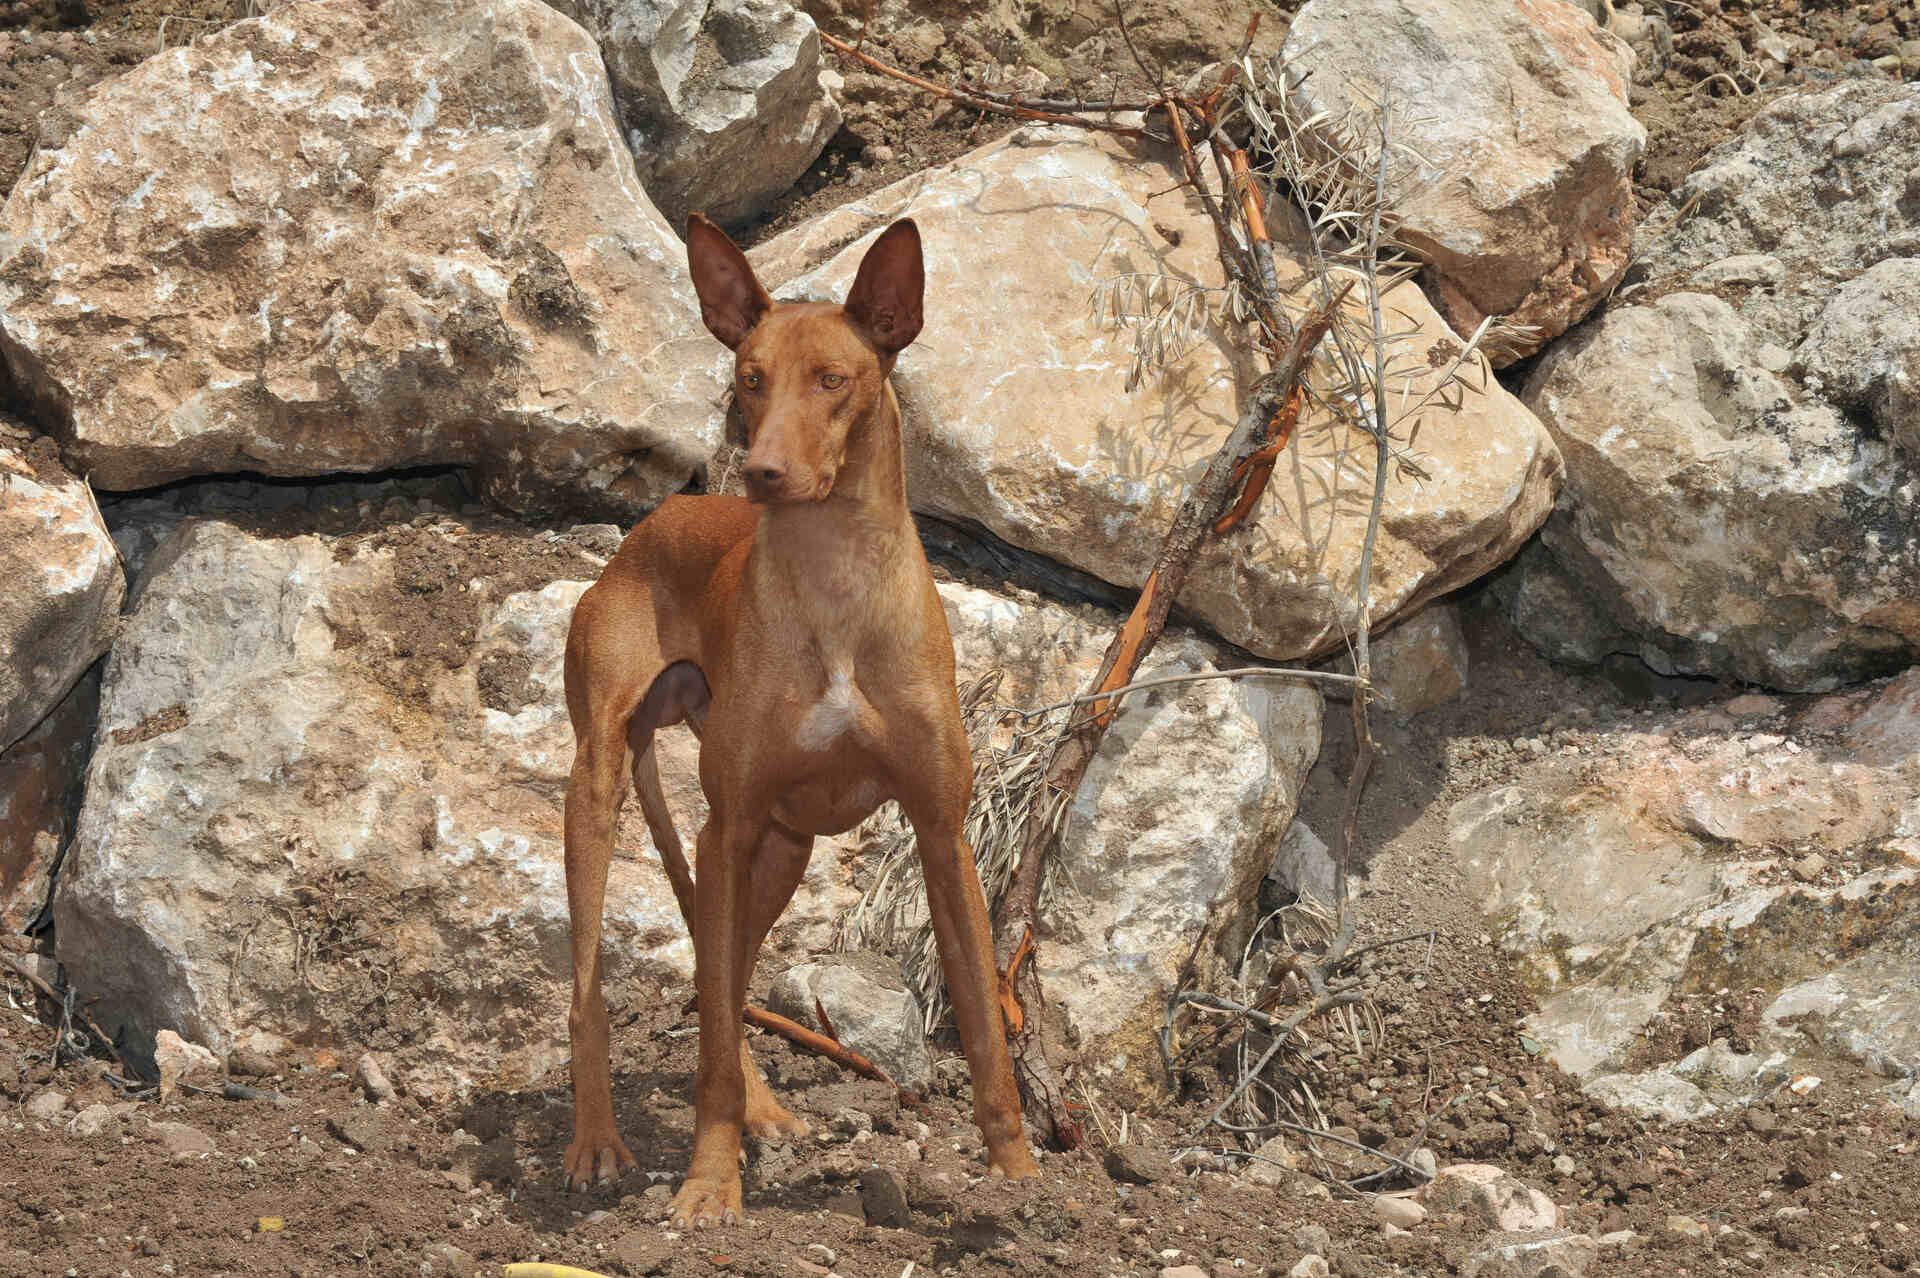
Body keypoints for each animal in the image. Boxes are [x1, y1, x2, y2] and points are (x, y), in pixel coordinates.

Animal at [560, 213, 1036, 1220]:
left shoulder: (942, 833)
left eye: (833, 378)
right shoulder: (728, 826)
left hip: (781, 852)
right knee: (603, 992)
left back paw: (763, 1108)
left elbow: (983, 1019)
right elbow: (702, 1045)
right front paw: (709, 1186)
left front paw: (1019, 1179)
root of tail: (652, 526)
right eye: (750, 377)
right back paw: (597, 1142)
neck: (836, 583)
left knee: (723, 982)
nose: (764, 473)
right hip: (606, 790)